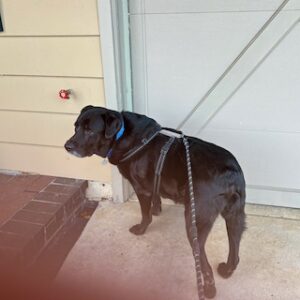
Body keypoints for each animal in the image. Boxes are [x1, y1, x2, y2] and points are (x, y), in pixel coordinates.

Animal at [64, 105, 245, 298]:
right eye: (75, 127)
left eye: (90, 130)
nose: (67, 146)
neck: (121, 134)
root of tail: (231, 172)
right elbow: (155, 197)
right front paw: (157, 209)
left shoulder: (141, 190)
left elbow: (145, 214)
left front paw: (141, 228)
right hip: (236, 217)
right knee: (235, 249)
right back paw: (228, 269)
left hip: (195, 222)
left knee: (204, 262)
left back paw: (210, 288)